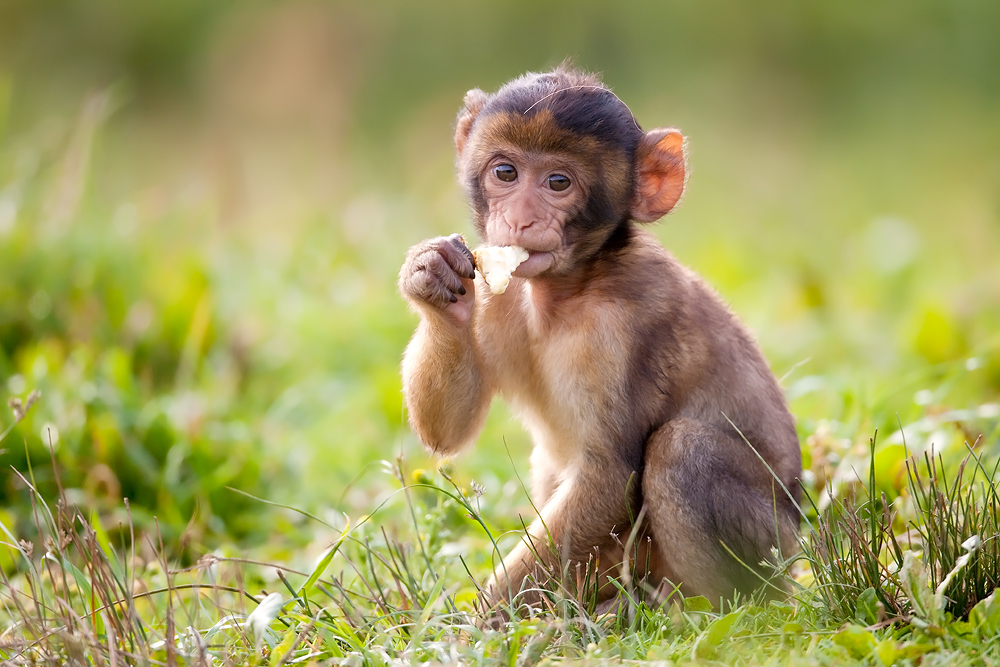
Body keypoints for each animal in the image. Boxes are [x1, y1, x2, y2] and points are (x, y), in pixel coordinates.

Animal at [398, 65, 796, 620]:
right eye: (506, 173)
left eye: (558, 182)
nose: (520, 219)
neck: (570, 288)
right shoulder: (500, 294)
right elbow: (447, 432)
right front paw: (433, 277)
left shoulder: (617, 330)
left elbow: (609, 476)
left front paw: (478, 625)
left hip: (773, 549)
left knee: (680, 451)